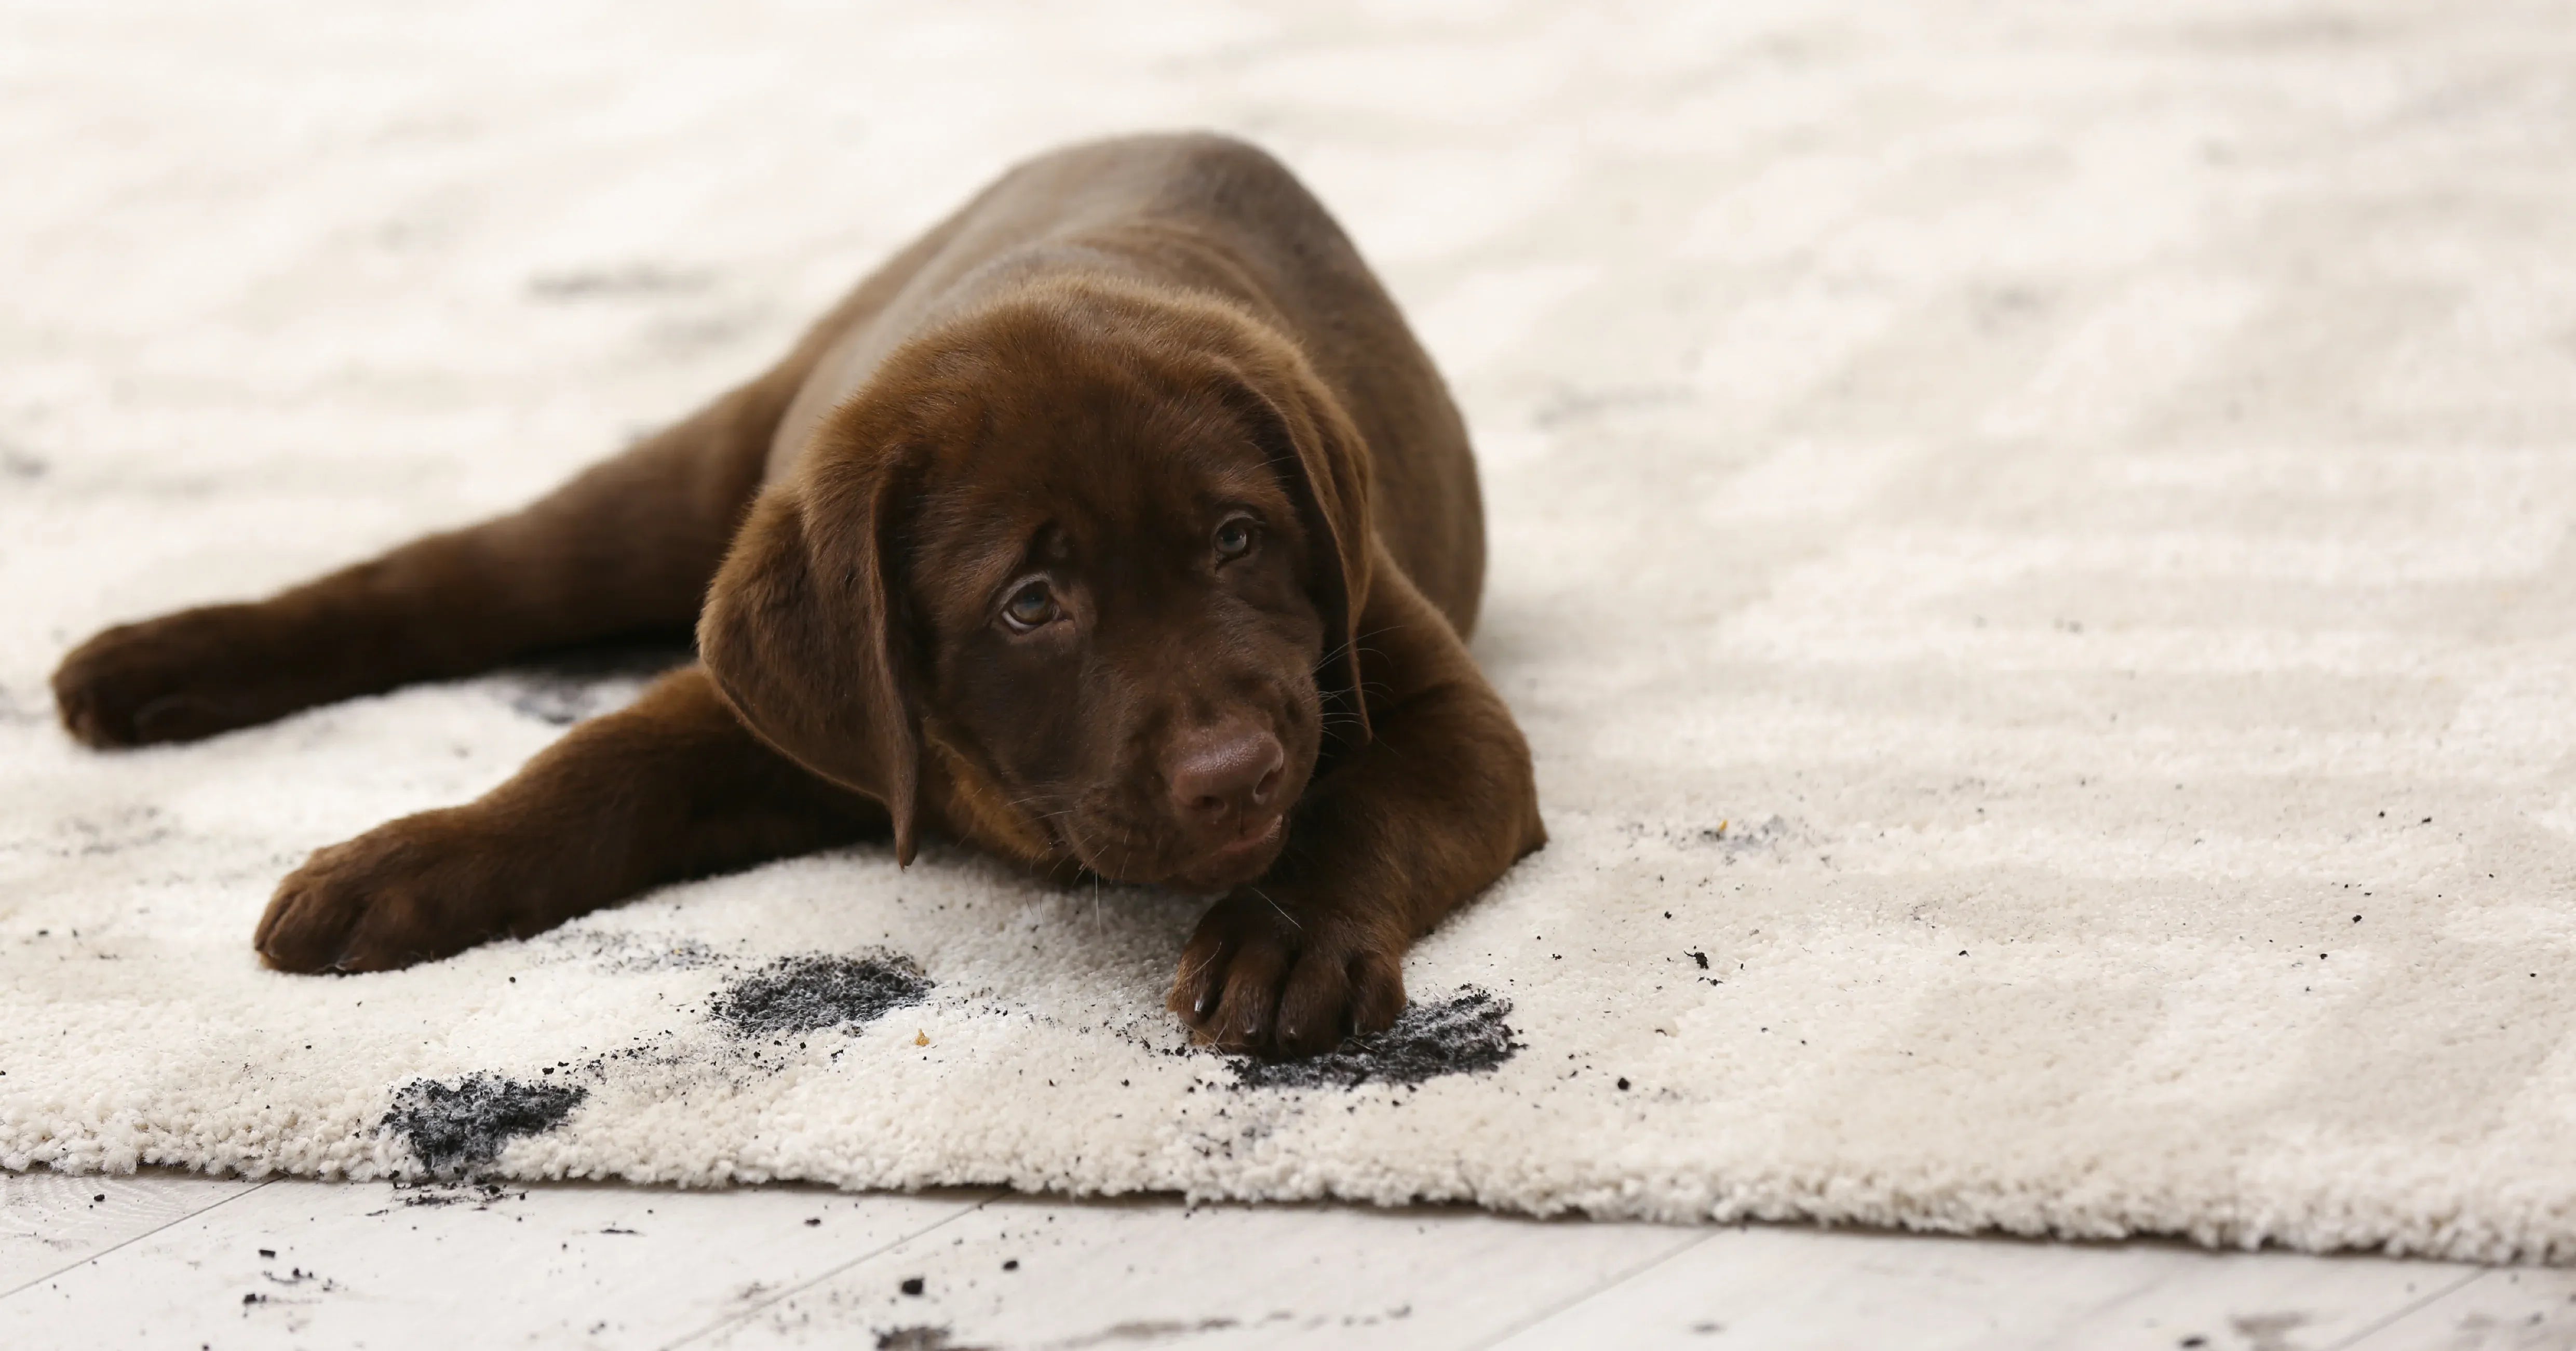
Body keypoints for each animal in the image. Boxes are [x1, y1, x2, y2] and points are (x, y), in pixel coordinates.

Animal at [55, 132, 1545, 1062]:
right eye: (1029, 605)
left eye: (1239, 538)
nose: (1237, 774)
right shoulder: (797, 715)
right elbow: (589, 769)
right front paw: (401, 865)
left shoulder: (1434, 705)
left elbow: (1366, 809)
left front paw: (1282, 940)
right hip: (690, 478)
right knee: (459, 576)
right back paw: (144, 668)